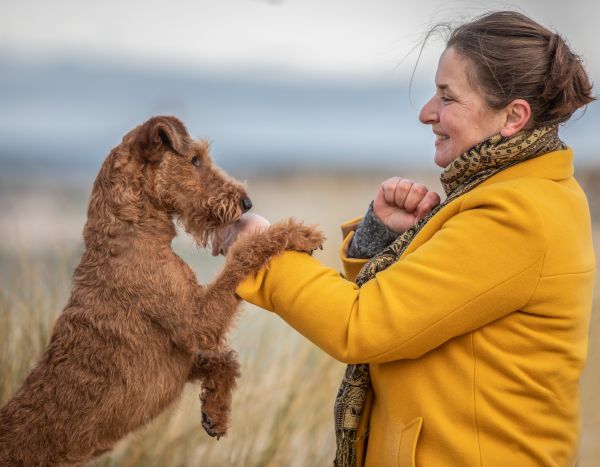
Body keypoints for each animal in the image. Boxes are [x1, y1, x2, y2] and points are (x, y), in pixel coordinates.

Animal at [0, 115, 324, 466]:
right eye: (195, 159)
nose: (247, 202)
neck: (130, 231)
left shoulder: (183, 355)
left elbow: (226, 361)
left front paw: (215, 414)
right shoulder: (197, 323)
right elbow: (244, 254)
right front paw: (296, 232)